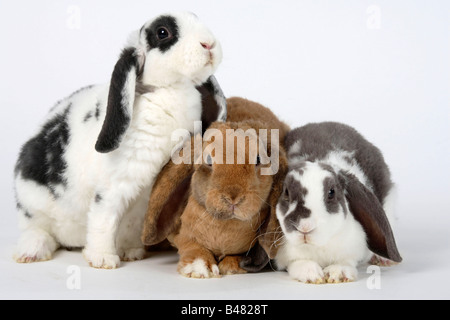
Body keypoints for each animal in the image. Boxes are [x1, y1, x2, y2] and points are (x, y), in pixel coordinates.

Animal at [12, 11, 227, 268]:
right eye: (162, 32)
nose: (209, 44)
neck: (169, 89)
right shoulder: (113, 187)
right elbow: (104, 219)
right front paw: (103, 259)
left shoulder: (143, 195)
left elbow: (130, 224)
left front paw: (130, 252)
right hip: (31, 202)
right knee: (36, 228)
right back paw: (31, 252)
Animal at [142, 97, 290, 278]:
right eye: (208, 159)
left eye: (258, 159)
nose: (233, 197)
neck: (224, 225)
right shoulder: (184, 237)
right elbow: (193, 248)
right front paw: (199, 269)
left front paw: (232, 266)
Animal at [274, 122, 400, 282]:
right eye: (286, 192)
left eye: (331, 193)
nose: (304, 227)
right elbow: (297, 263)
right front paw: (311, 275)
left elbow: (346, 261)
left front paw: (338, 274)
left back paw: (383, 260)